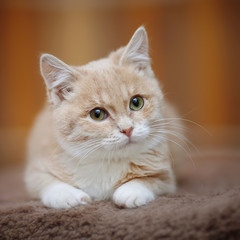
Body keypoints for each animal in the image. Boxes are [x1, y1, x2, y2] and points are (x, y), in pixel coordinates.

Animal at [24, 26, 182, 209]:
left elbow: (149, 180)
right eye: (97, 114)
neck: (107, 161)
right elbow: (46, 182)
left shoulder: (166, 176)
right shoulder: (36, 168)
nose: (127, 129)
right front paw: (67, 195)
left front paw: (130, 191)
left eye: (136, 102)